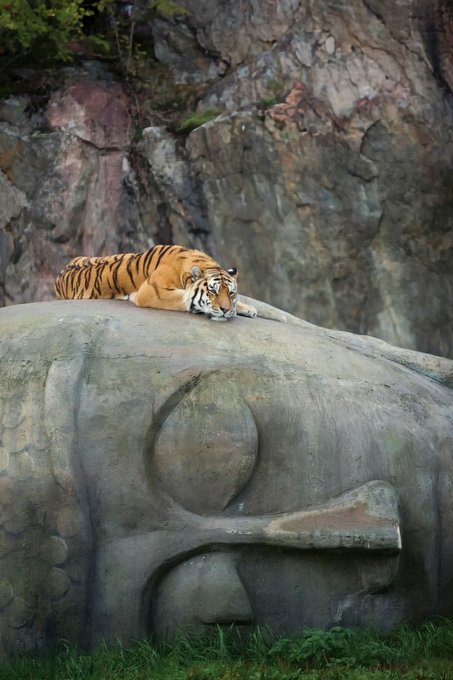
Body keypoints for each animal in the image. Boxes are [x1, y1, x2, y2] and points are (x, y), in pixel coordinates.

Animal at [54, 245, 257, 321]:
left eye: (230, 292)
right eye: (213, 291)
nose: (224, 310)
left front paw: (247, 308)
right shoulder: (152, 291)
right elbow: (185, 297)